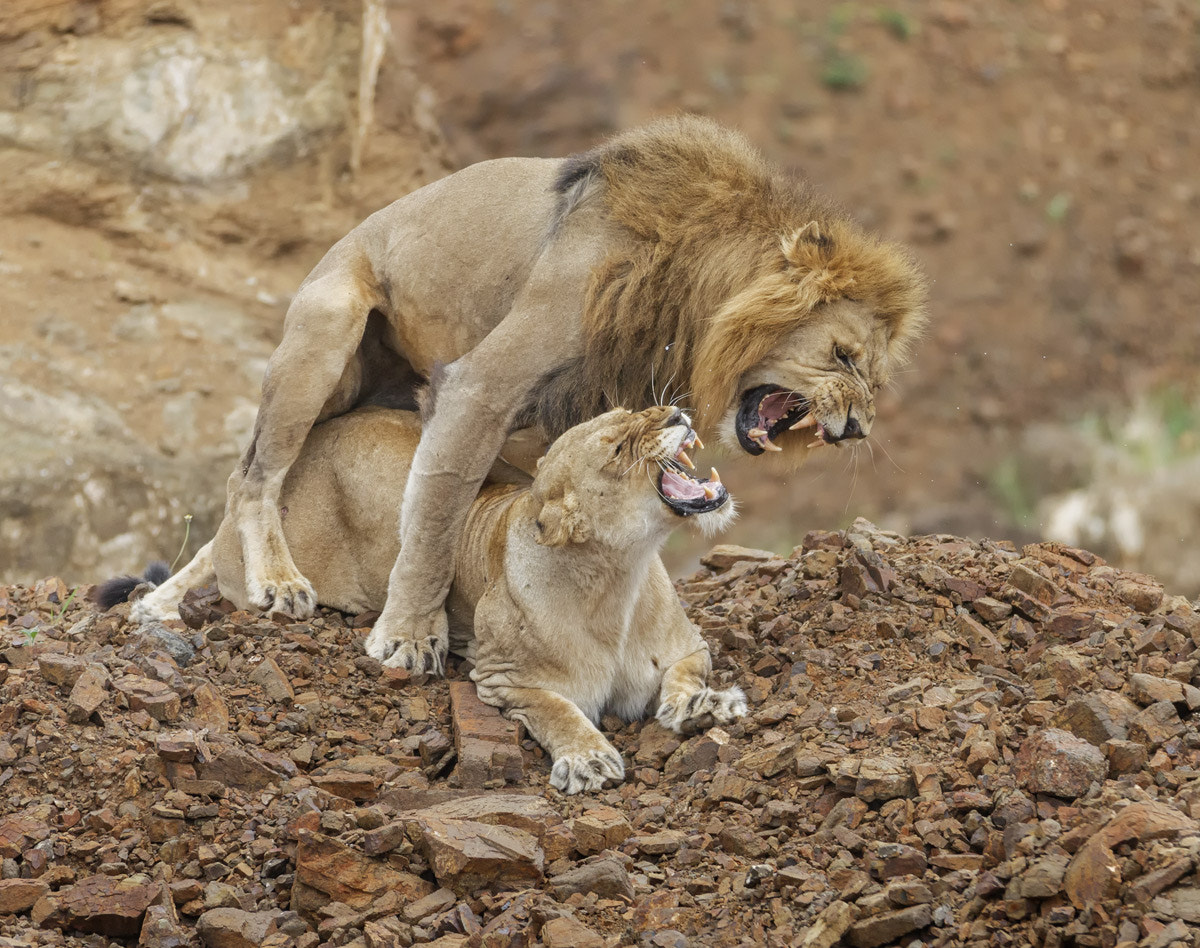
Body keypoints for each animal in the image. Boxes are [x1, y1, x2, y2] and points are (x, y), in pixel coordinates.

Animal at [114, 403, 748, 796]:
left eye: (637, 410)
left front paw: (706, 705)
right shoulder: (503, 678)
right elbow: (559, 710)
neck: (619, 577)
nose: (676, 413)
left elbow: (685, 674)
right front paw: (587, 759)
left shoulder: (687, 646)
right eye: (617, 447)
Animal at [177, 113, 926, 676]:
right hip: (329, 331)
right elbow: (437, 514)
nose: (859, 427)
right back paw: (277, 582)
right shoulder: (482, 384)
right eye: (841, 354)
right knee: (251, 475)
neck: (691, 297)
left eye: (874, 378)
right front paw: (410, 635)